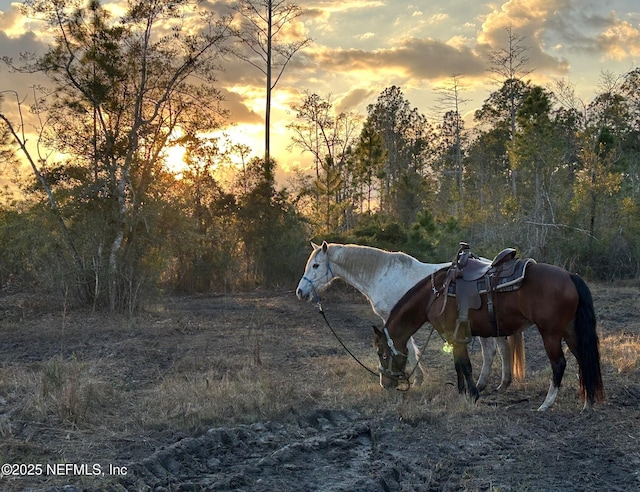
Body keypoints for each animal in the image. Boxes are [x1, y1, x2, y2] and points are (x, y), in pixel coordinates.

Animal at [298, 240, 524, 390]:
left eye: (316, 265)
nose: (300, 292)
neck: (381, 274)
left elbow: (406, 346)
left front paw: (415, 379)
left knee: (495, 350)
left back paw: (490, 385)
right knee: (498, 350)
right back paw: (494, 384)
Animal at [372, 262, 604, 412]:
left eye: (381, 353)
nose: (384, 384)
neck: (435, 295)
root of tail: (570, 276)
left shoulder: (456, 336)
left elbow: (465, 366)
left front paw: (473, 394)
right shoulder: (455, 337)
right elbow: (458, 365)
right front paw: (462, 391)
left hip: (551, 334)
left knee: (559, 364)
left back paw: (546, 404)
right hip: (570, 331)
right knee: (583, 359)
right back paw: (588, 402)